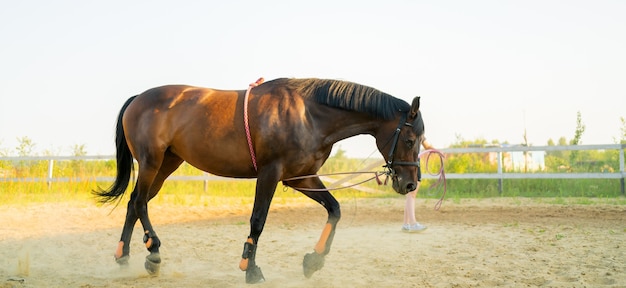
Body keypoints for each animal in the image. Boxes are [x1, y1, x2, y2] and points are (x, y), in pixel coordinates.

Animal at [92, 77, 424, 284]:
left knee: (135, 204)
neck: (308, 115)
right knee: (139, 202)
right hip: (151, 162)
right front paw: (250, 268)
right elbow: (257, 220)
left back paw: (125, 256)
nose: (410, 184)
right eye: (410, 139)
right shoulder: (270, 174)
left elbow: (335, 209)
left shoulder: (300, 178)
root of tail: (139, 99)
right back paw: (153, 251)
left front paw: (313, 261)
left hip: (167, 164)